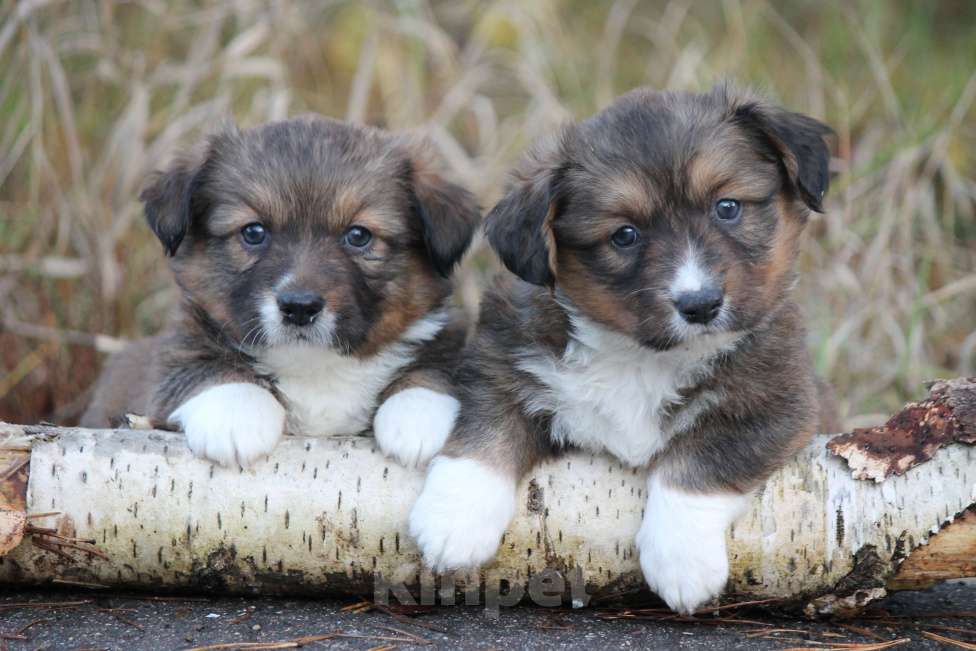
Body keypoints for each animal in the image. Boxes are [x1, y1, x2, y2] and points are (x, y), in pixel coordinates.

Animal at [84, 116, 480, 468]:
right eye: (253, 232)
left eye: (358, 235)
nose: (300, 307)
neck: (315, 368)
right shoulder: (171, 361)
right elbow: (205, 368)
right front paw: (237, 415)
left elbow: (433, 370)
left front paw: (419, 414)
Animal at [408, 86, 836, 616]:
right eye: (625, 235)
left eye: (727, 207)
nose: (700, 305)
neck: (643, 356)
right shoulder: (504, 366)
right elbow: (484, 436)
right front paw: (452, 521)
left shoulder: (778, 403)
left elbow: (700, 463)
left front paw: (681, 562)